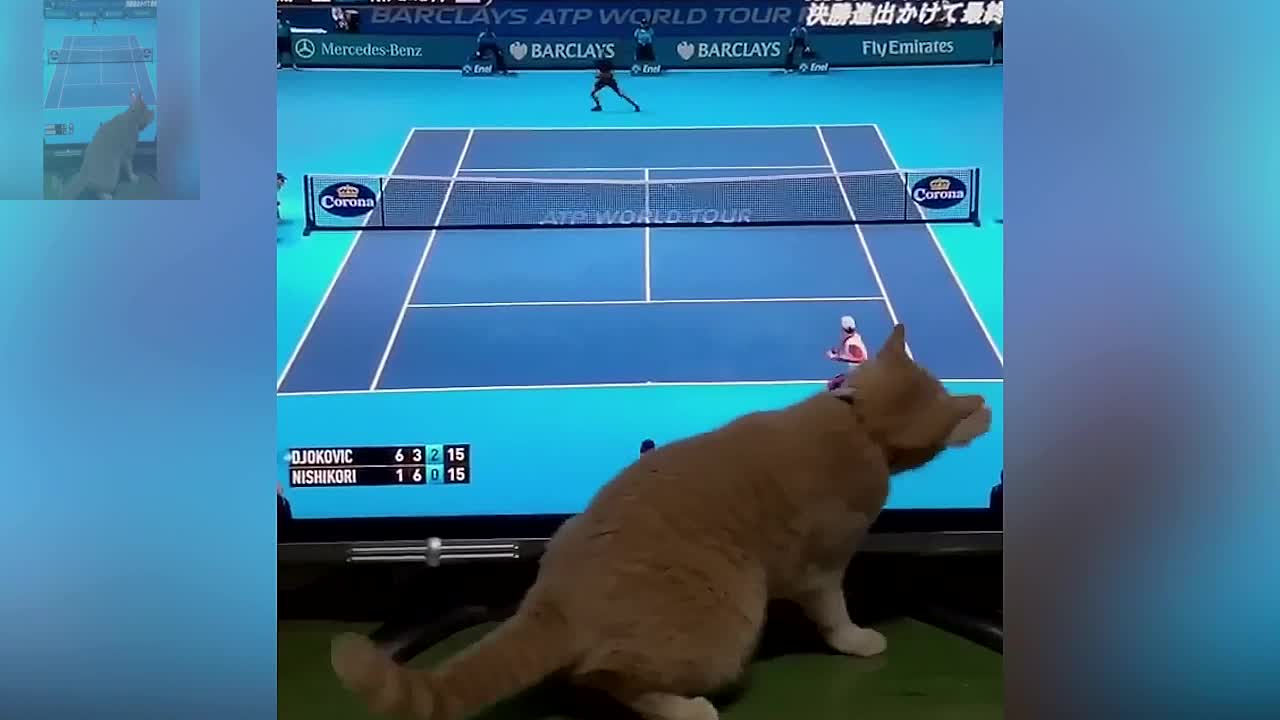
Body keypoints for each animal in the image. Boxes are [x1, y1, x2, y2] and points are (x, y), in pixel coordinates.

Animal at [330, 324, 988, 717]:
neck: (858, 426)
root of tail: (555, 597)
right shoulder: (822, 567)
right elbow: (835, 614)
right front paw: (857, 639)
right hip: (733, 617)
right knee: (608, 678)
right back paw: (687, 706)